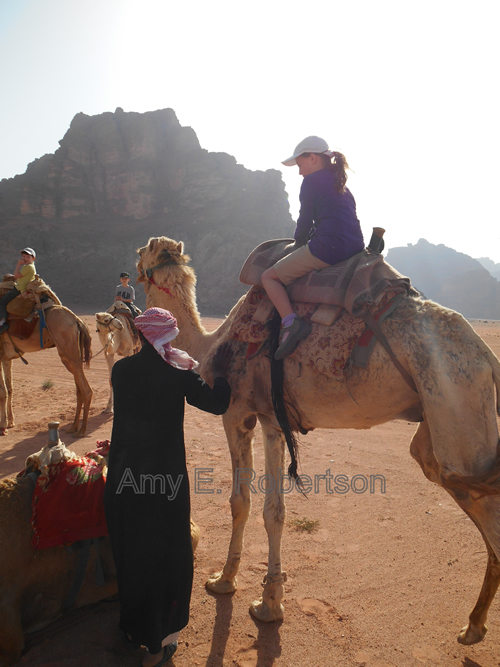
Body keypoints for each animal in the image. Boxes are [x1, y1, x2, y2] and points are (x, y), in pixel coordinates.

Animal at [0, 304, 93, 438]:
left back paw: (81, 431)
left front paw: (3, 426)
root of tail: (77, 320)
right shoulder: (6, 358)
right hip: (74, 352)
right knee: (79, 389)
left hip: (67, 352)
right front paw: (10, 422)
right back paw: (73, 427)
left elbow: (2, 392)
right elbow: (9, 389)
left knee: (86, 390)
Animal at [138, 236, 500, 648]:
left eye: (142, 252)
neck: (209, 345)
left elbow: (242, 503)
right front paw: (269, 601)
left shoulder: (238, 413)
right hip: (448, 433)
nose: (128, 271)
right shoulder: (273, 421)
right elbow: (274, 511)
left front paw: (228, 583)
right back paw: (473, 626)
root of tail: (485, 354)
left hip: (455, 407)